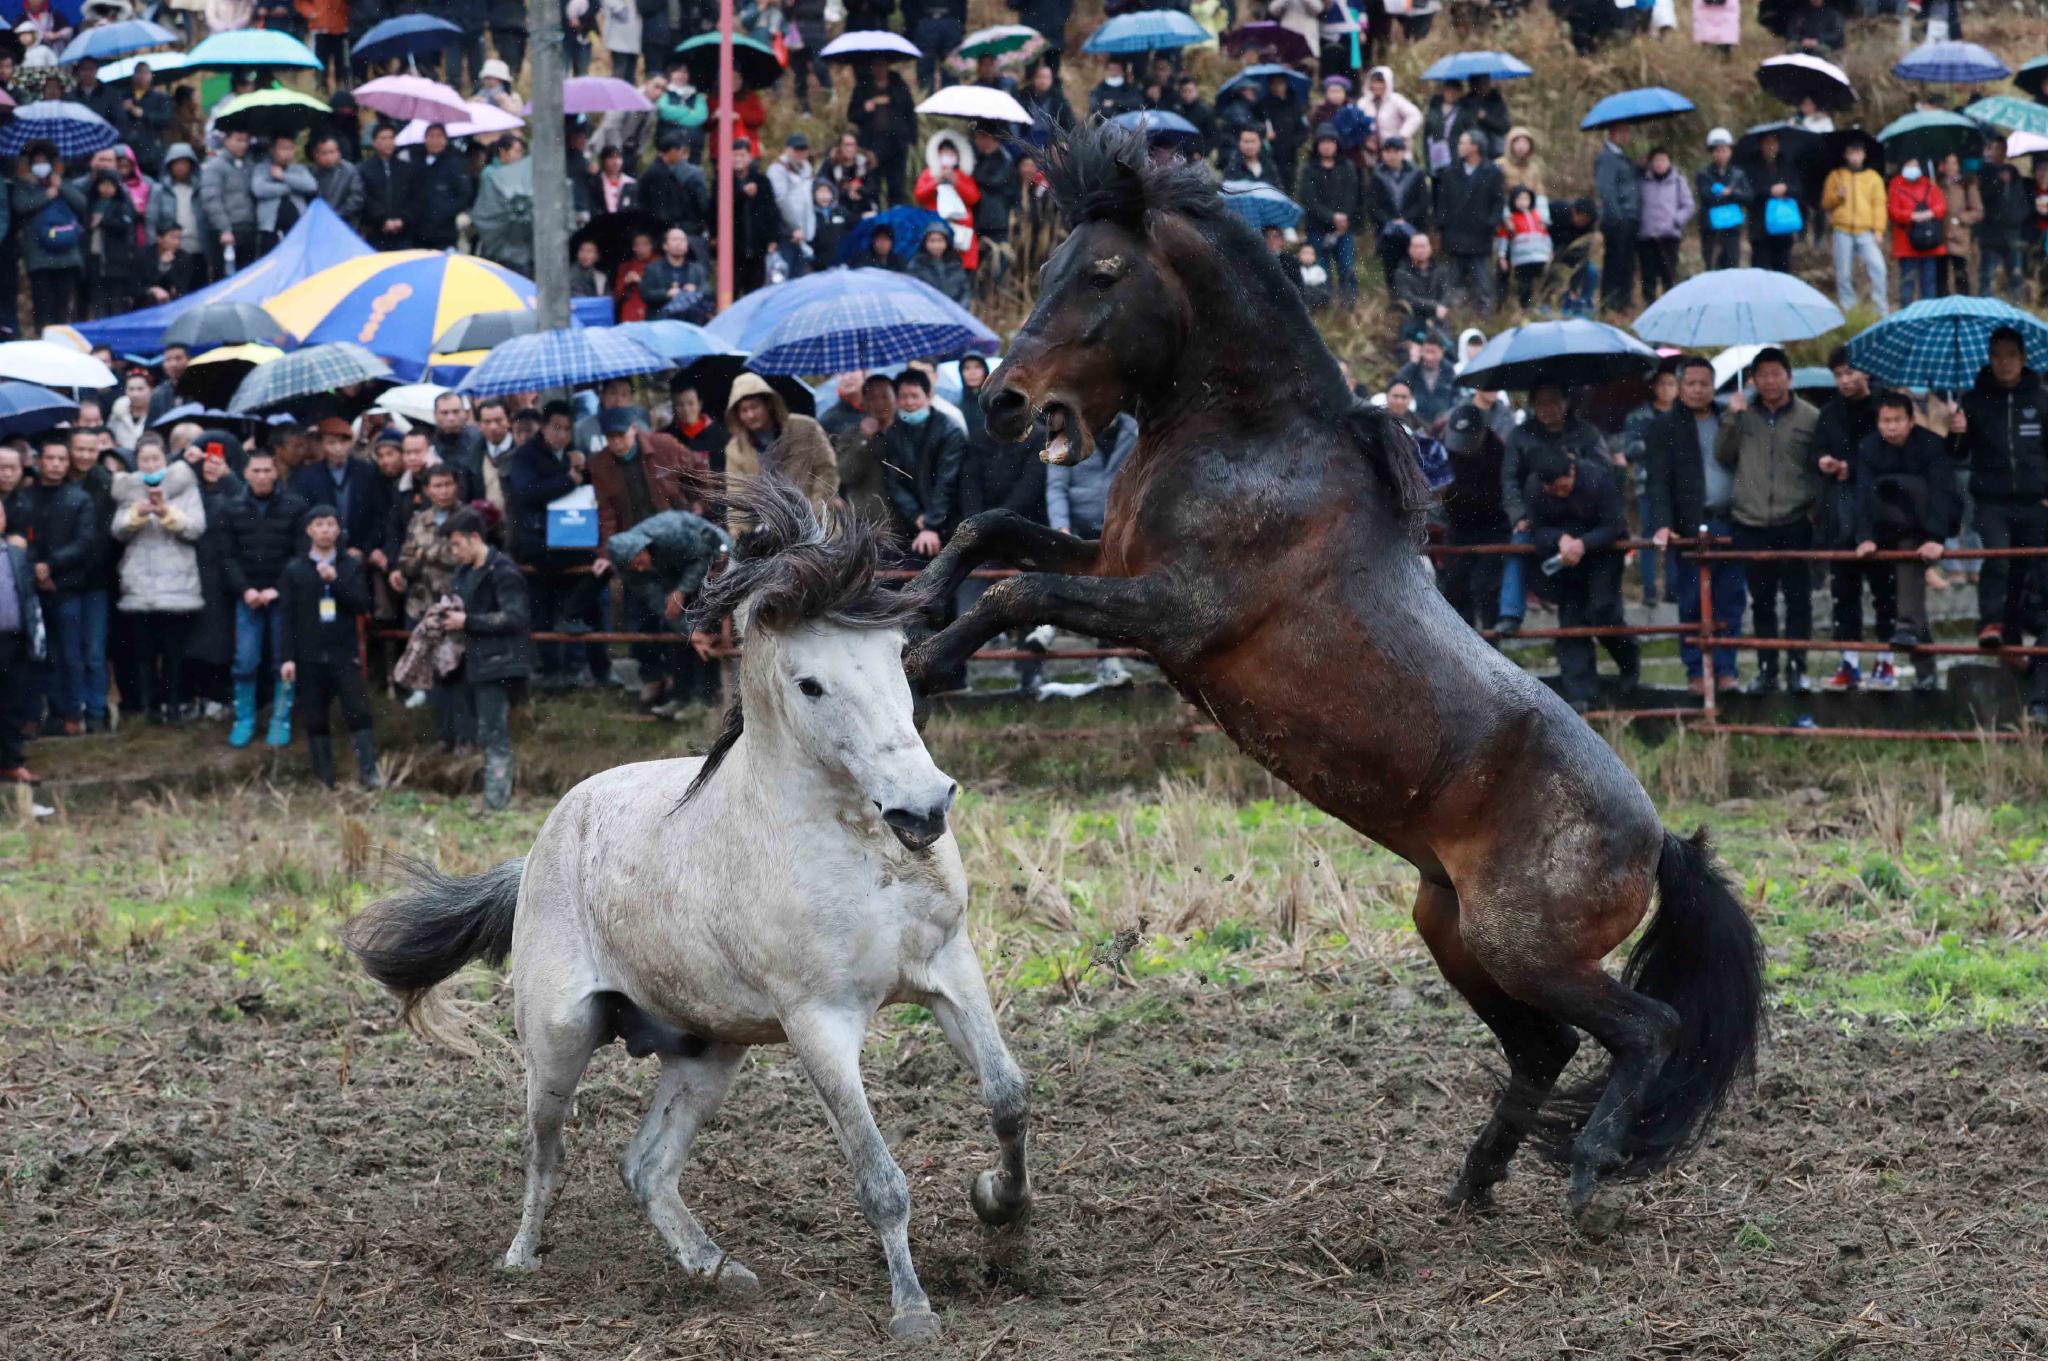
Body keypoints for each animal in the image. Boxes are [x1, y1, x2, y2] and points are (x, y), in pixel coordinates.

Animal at [347, 478, 1032, 1341]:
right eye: (810, 683)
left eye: (893, 658)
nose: (923, 806)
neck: (852, 848)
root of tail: (539, 847)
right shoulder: (820, 1022)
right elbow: (878, 1176)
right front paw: (912, 1310)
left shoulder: (949, 968)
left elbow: (1008, 1098)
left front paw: (1002, 1209)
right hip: (559, 1039)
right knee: (548, 1151)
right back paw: (521, 1258)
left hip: (706, 1052)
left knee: (643, 1166)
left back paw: (719, 1267)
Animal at [905, 122, 1765, 1237]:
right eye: (1051, 266)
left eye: (1101, 274)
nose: (1002, 401)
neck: (1250, 437)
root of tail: (1658, 840)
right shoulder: (1112, 561)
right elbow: (992, 530)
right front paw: (916, 602)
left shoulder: (1173, 610)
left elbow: (1018, 589)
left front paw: (925, 663)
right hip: (1452, 927)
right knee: (1546, 1048)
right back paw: (1474, 1180)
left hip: (1525, 948)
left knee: (1644, 1028)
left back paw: (1587, 1169)